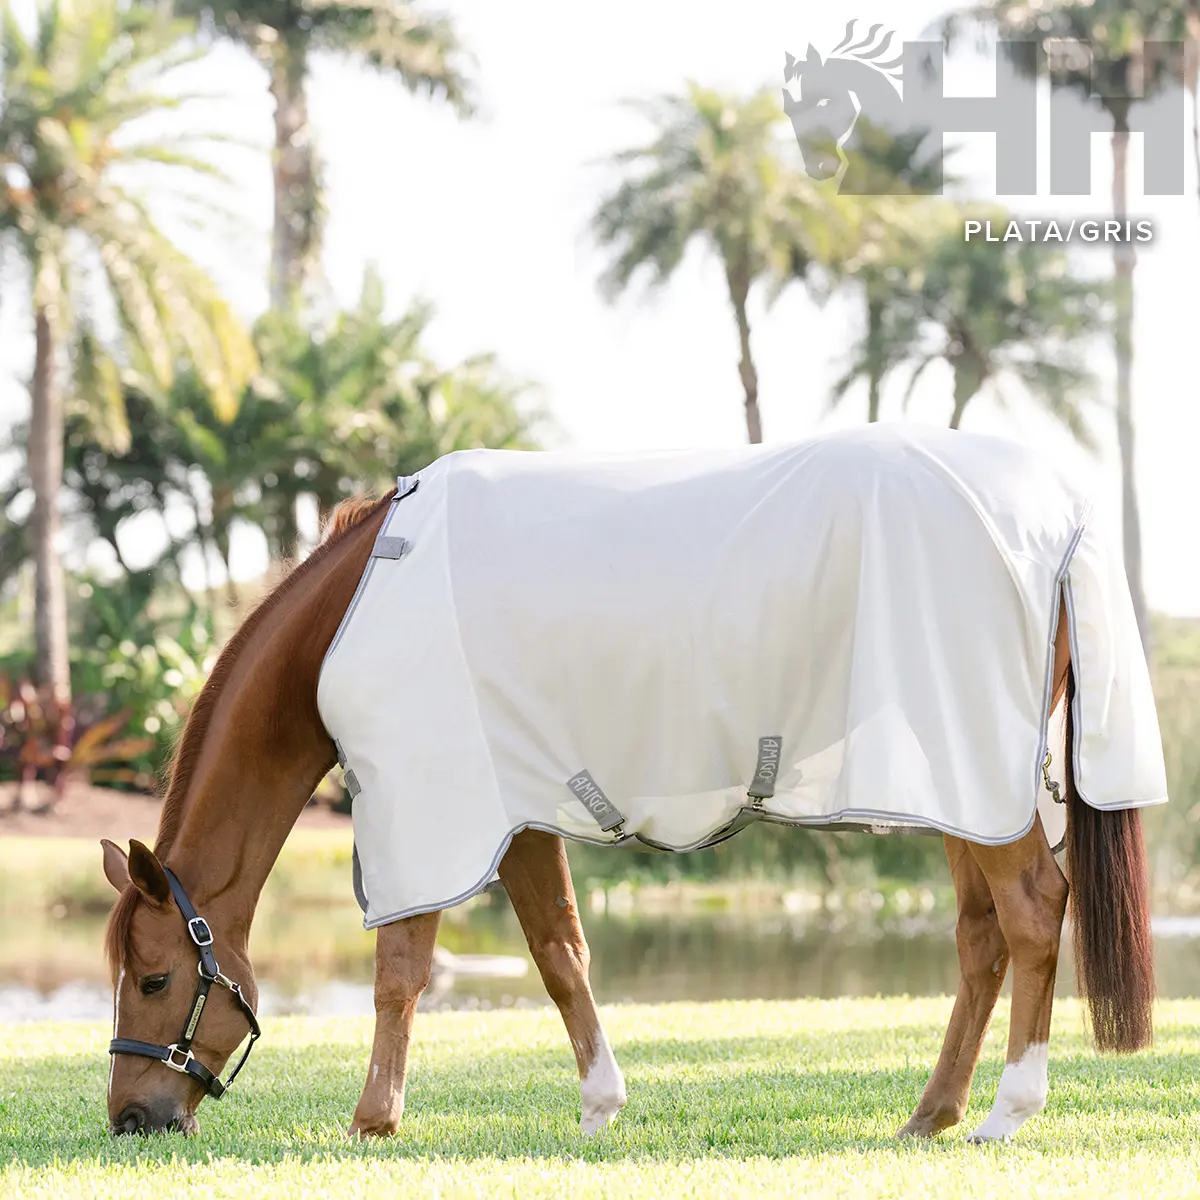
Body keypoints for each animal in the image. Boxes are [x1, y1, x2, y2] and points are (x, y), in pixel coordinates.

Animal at [101, 443, 1156, 1144]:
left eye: (154, 979)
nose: (131, 1117)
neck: (353, 615)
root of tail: (1059, 519)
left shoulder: (432, 806)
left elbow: (401, 968)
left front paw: (373, 1121)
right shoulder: (518, 813)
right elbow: (560, 954)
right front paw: (601, 1105)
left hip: (978, 780)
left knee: (1034, 914)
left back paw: (1008, 1112)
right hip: (960, 785)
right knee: (982, 937)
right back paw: (930, 1115)